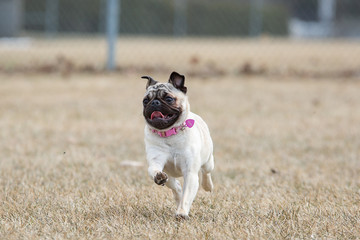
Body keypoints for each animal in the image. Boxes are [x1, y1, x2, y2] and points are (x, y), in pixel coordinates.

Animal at [141, 71, 214, 219]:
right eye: (145, 101)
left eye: (169, 99)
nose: (154, 102)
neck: (169, 134)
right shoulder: (156, 161)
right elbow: (155, 170)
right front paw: (159, 176)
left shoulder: (190, 173)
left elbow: (186, 197)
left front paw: (181, 212)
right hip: (171, 176)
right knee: (175, 186)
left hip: (208, 161)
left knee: (206, 172)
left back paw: (207, 186)